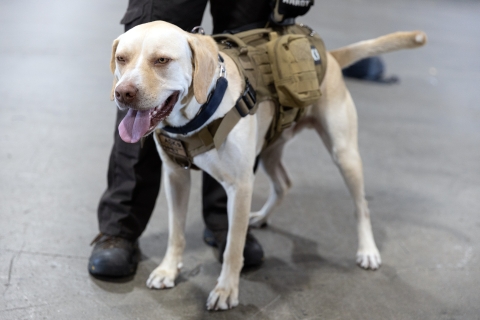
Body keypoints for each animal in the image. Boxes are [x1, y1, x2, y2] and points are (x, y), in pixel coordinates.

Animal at [110, 21, 426, 310]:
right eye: (121, 58)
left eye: (162, 60)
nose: (123, 93)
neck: (200, 113)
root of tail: (332, 57)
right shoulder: (175, 177)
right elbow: (176, 232)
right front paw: (168, 270)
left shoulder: (240, 186)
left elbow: (233, 247)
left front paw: (226, 290)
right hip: (270, 150)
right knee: (284, 183)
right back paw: (260, 216)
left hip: (344, 154)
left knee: (361, 206)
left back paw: (367, 250)